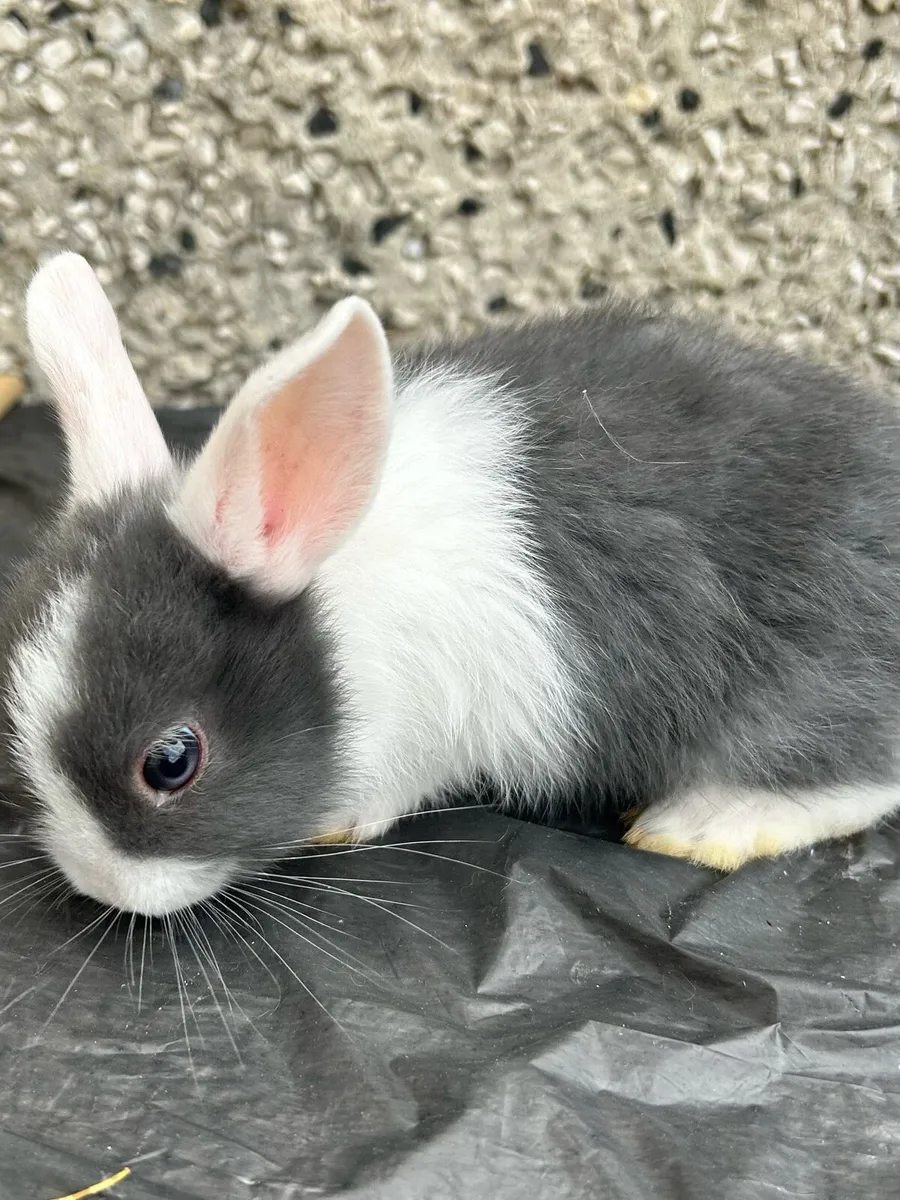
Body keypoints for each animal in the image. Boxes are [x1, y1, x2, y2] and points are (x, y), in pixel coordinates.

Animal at [2, 249, 900, 918]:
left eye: (171, 762)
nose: (101, 886)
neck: (339, 603)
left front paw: (332, 822)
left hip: (806, 684)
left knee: (860, 778)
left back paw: (705, 822)